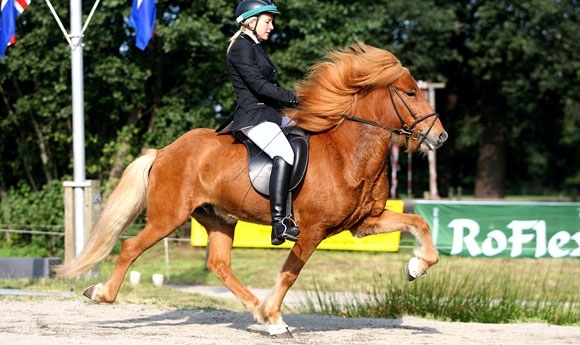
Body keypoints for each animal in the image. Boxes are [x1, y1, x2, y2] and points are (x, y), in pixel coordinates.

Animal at [55, 42, 448, 336]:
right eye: (411, 92)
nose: (440, 137)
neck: (346, 151)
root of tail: (164, 151)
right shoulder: (313, 229)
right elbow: (290, 272)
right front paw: (276, 318)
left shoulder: (365, 221)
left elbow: (419, 223)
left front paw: (416, 267)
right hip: (167, 218)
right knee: (130, 247)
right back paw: (101, 293)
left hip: (218, 218)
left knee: (218, 265)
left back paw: (255, 309)